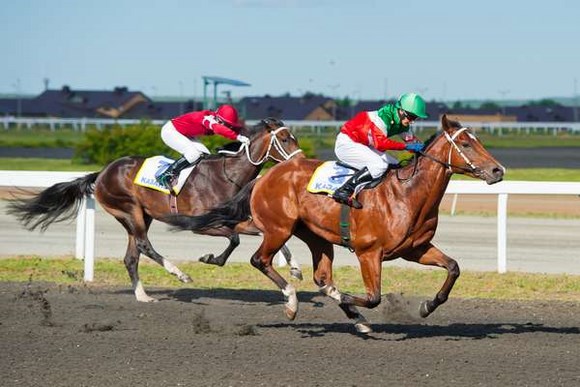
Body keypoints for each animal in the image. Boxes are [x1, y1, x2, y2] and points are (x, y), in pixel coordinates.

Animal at [7, 117, 304, 304]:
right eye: (285, 138)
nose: (301, 161)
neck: (226, 175)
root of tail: (102, 172)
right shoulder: (201, 223)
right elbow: (234, 239)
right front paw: (210, 258)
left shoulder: (230, 218)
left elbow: (267, 236)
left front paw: (295, 268)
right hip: (129, 211)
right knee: (144, 245)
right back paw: (179, 273)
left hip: (140, 215)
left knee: (131, 256)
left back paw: (143, 296)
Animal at [165, 114, 506, 334]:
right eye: (466, 144)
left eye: (477, 140)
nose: (498, 170)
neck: (407, 194)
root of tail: (266, 176)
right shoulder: (369, 252)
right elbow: (373, 297)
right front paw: (349, 302)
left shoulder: (415, 249)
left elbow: (453, 268)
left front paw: (427, 306)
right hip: (278, 228)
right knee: (260, 259)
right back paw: (292, 303)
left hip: (314, 236)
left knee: (318, 275)